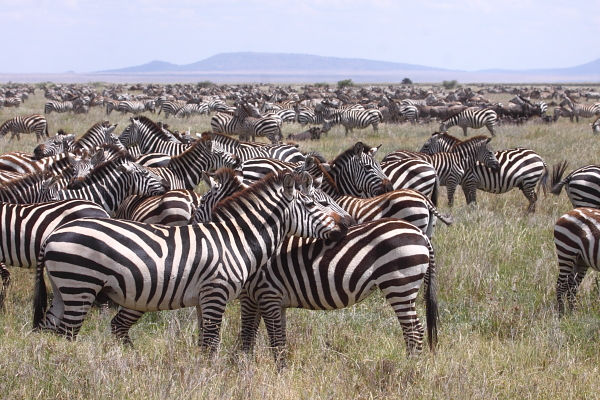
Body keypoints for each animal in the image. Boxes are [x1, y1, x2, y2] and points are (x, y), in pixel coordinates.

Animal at [32, 172, 350, 346]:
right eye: (315, 204)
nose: (346, 227)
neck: (236, 241)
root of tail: (54, 234)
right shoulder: (216, 293)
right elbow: (211, 343)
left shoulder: (202, 299)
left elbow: (203, 343)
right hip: (80, 284)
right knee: (68, 333)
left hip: (62, 288)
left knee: (50, 330)